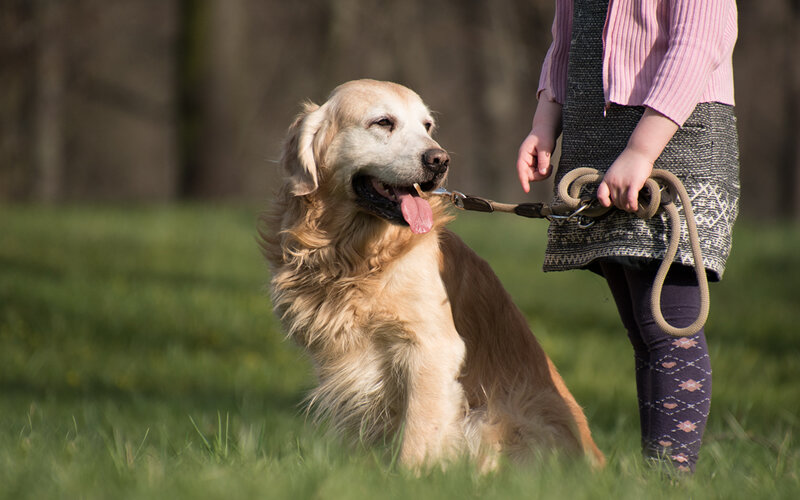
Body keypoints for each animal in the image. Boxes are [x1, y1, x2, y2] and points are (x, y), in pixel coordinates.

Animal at [260, 78, 600, 468]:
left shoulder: (431, 347)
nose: (440, 160)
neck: (354, 255)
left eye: (427, 126)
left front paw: (410, 476)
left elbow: (418, 435)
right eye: (384, 122)